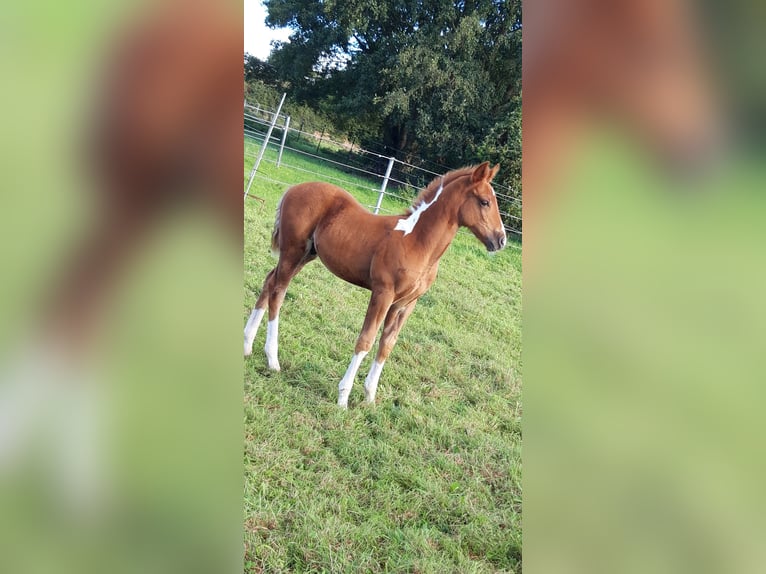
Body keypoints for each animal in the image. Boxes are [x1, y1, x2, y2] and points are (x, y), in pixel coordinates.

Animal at [246, 162, 508, 410]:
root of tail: (293, 189)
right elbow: (366, 340)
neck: (417, 241)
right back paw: (272, 360)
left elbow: (387, 345)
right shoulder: (383, 293)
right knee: (278, 293)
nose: (501, 240)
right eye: (485, 202)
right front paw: (343, 398)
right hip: (293, 251)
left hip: (306, 255)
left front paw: (370, 397)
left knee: (269, 282)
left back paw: (247, 344)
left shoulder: (405, 303)